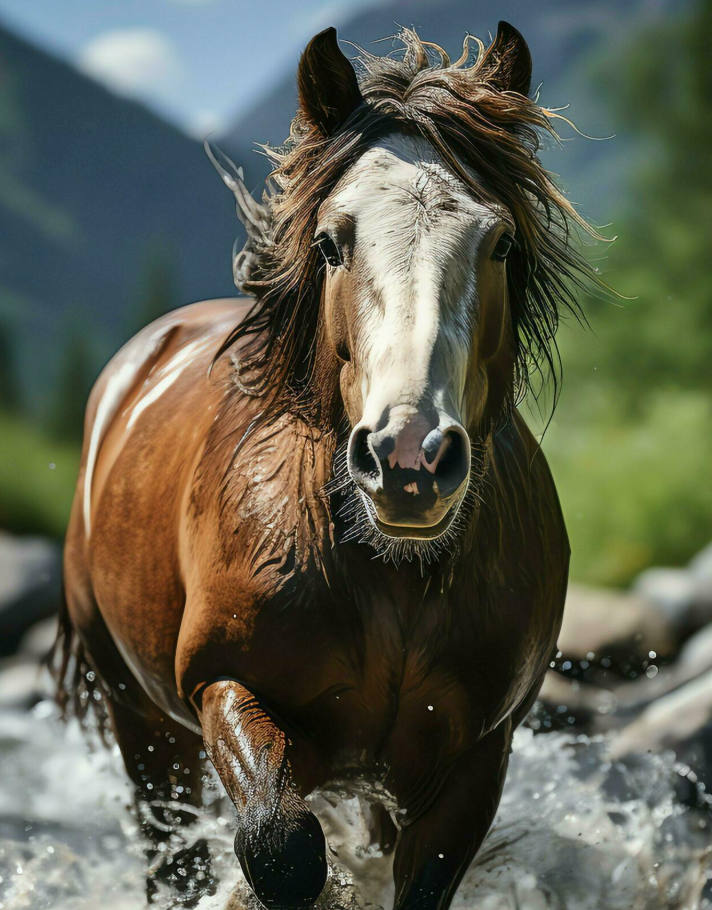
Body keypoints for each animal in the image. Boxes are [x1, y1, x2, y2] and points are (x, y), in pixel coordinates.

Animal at [54, 21, 600, 910]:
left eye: (500, 242)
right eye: (330, 240)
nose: (409, 459)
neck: (386, 572)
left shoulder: (476, 755)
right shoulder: (223, 686)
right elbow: (283, 849)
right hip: (140, 719)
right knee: (171, 855)